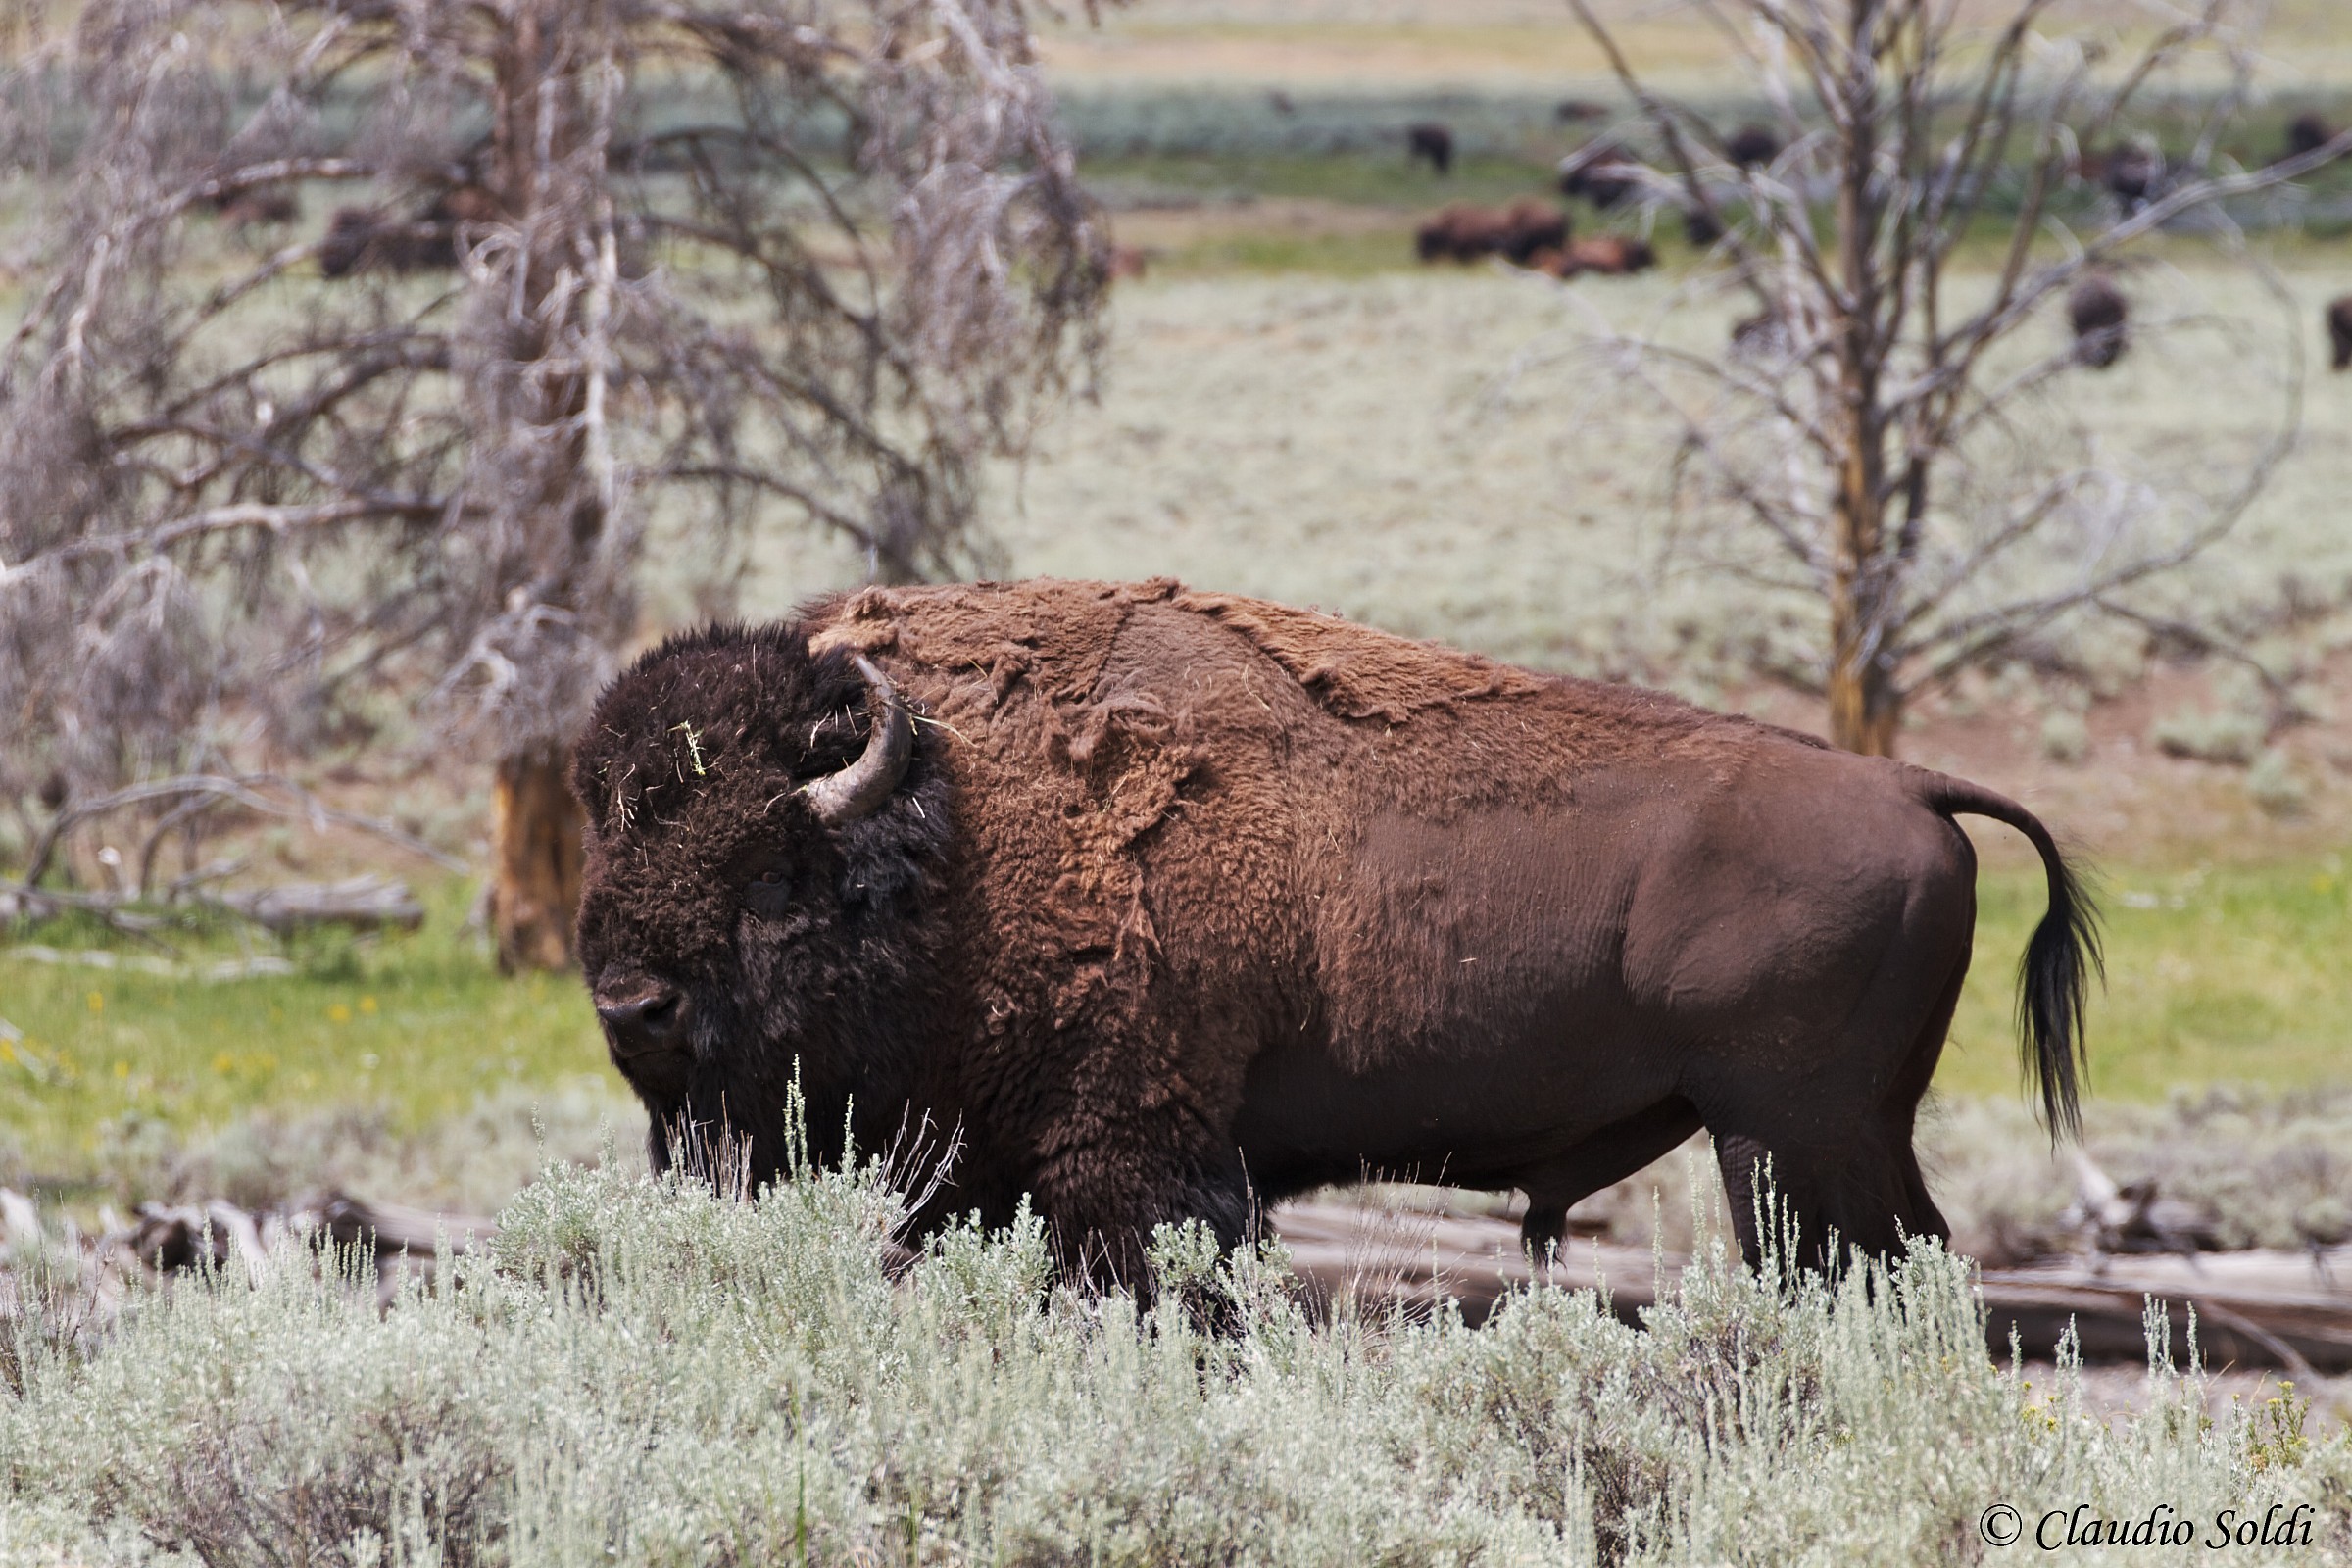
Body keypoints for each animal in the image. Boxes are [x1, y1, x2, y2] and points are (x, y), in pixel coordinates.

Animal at [572, 581, 2098, 1287]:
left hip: (1787, 1134)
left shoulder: (1130, 1156)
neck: (958, 825)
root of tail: (1911, 783)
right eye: (608, 833)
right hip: (1833, 1133)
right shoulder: (993, 1169)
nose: (631, 1007)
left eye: (774, 869)